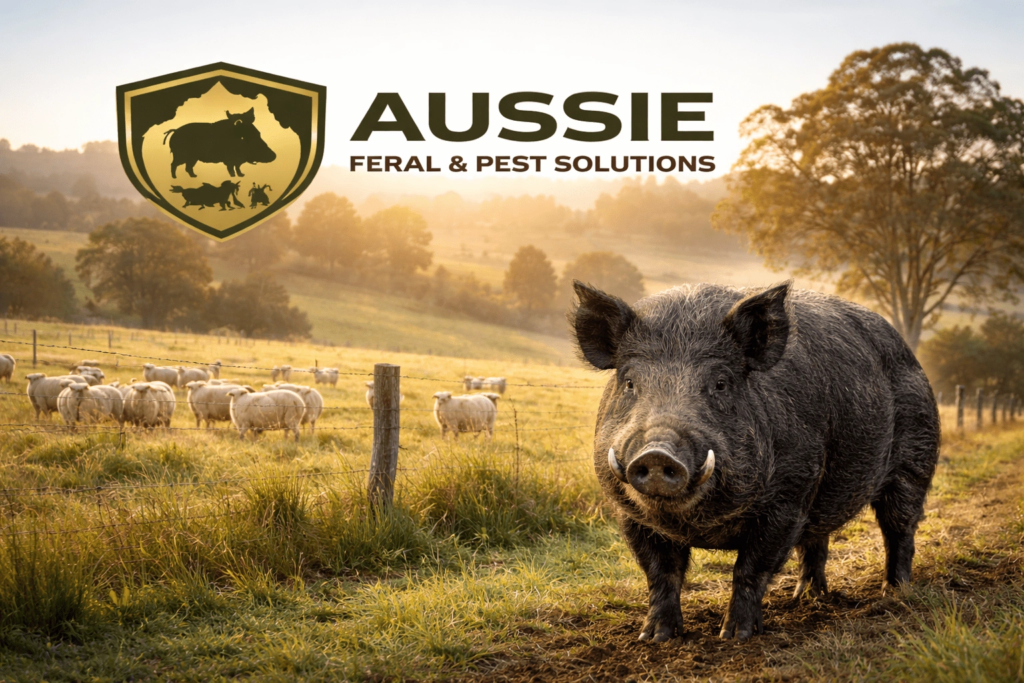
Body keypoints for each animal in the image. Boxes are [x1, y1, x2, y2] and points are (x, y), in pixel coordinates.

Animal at [569, 281, 939, 642]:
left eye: (720, 383)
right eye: (630, 382)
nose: (657, 453)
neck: (698, 524)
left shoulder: (788, 499)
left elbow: (750, 568)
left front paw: (735, 637)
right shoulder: (631, 515)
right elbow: (661, 574)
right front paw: (654, 638)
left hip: (915, 460)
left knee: (899, 529)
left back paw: (893, 593)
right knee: (816, 539)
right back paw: (805, 598)